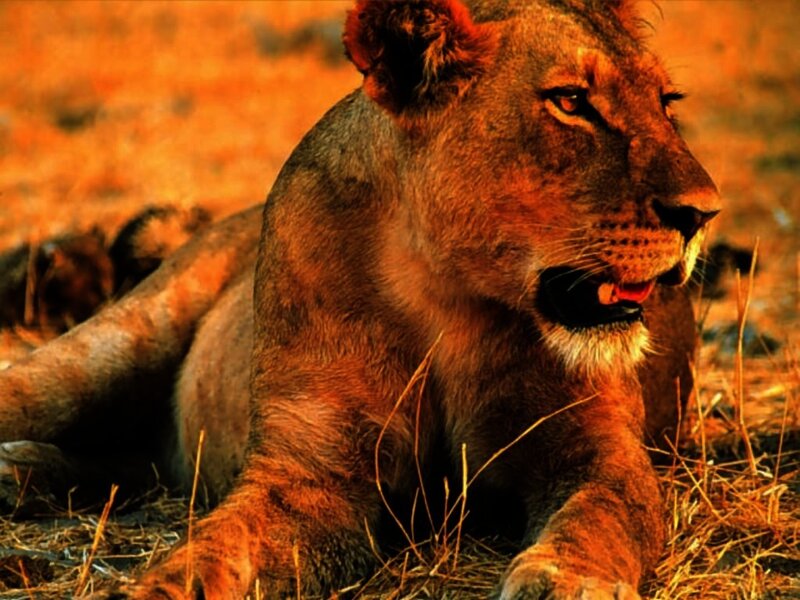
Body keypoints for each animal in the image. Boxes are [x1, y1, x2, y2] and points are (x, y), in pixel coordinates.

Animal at [0, 0, 721, 598]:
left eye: (667, 102)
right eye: (570, 101)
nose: (703, 214)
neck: (448, 298)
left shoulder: (595, 447)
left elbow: (602, 516)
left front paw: (568, 581)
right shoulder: (311, 473)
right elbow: (219, 546)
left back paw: (22, 469)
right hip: (114, 345)